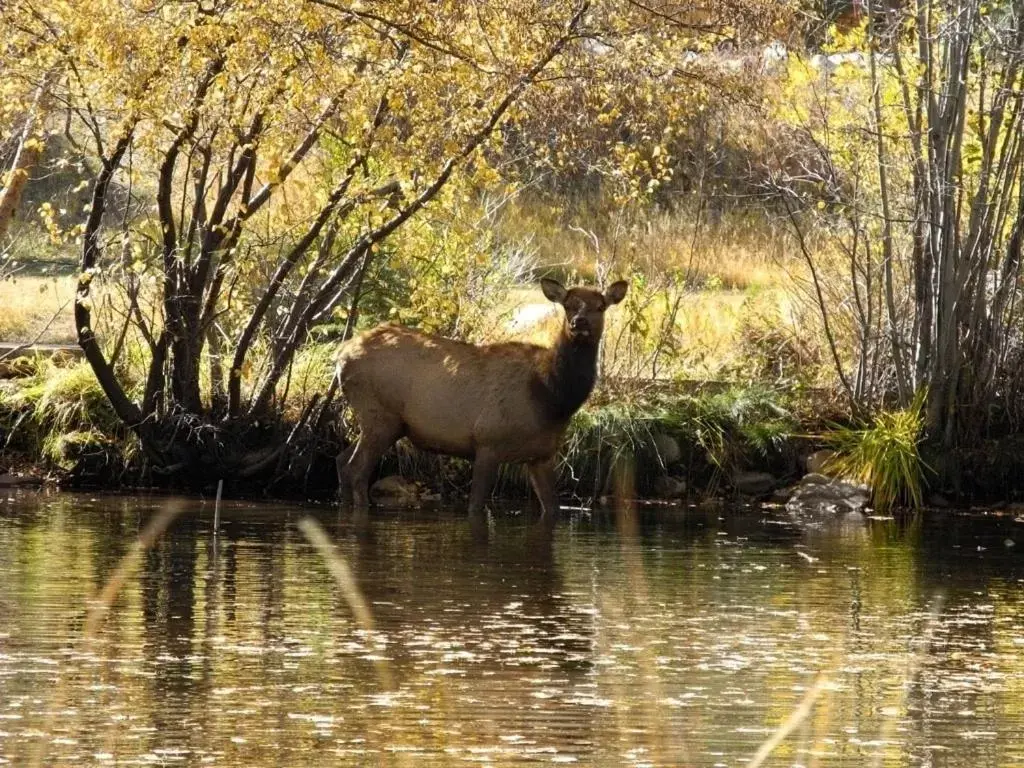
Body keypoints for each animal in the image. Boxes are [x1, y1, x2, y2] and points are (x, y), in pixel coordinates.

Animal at [331, 278, 626, 518]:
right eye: (568, 305)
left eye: (600, 306)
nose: (579, 322)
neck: (551, 399)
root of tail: (341, 354)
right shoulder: (488, 441)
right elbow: (476, 506)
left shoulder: (542, 455)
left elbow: (552, 509)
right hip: (379, 415)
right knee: (356, 470)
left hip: (383, 422)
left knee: (342, 462)